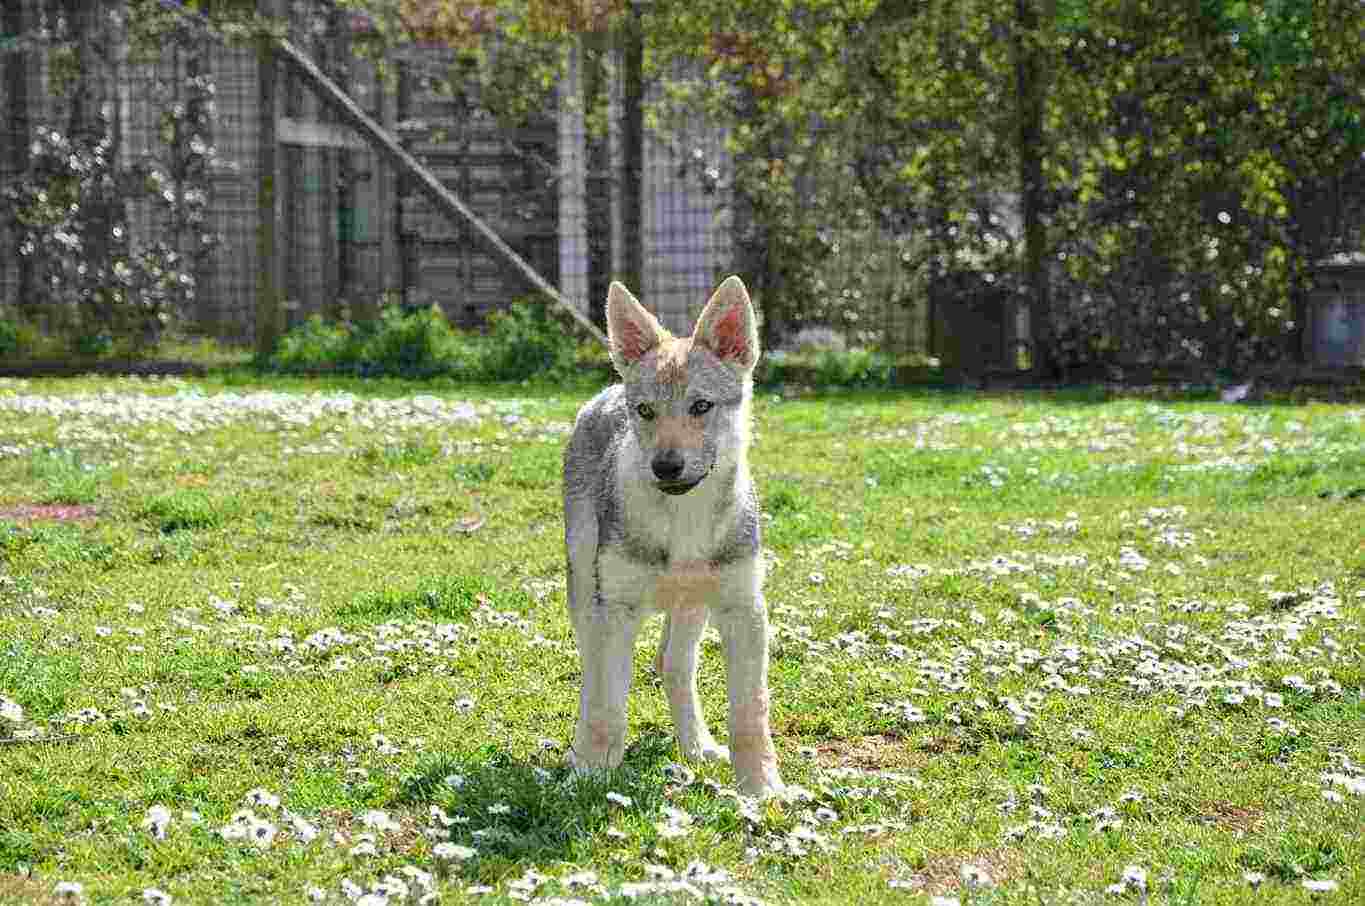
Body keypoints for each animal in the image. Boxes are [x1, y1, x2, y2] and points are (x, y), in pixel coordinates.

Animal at [559, 274, 786, 791]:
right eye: (645, 411)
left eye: (701, 406)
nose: (665, 466)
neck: (683, 521)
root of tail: (607, 389)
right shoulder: (616, 609)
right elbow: (607, 704)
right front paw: (593, 772)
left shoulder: (744, 608)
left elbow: (751, 712)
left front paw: (761, 787)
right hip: (586, 591)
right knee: (592, 672)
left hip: (693, 606)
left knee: (672, 665)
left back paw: (697, 746)